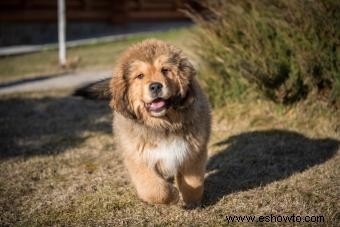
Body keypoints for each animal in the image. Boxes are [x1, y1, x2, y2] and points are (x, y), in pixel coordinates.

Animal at [75, 39, 211, 207]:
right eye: (140, 76)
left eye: (165, 70)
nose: (155, 86)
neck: (162, 125)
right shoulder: (138, 159)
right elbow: (154, 189)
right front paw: (172, 194)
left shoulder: (193, 152)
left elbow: (193, 182)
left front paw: (192, 201)